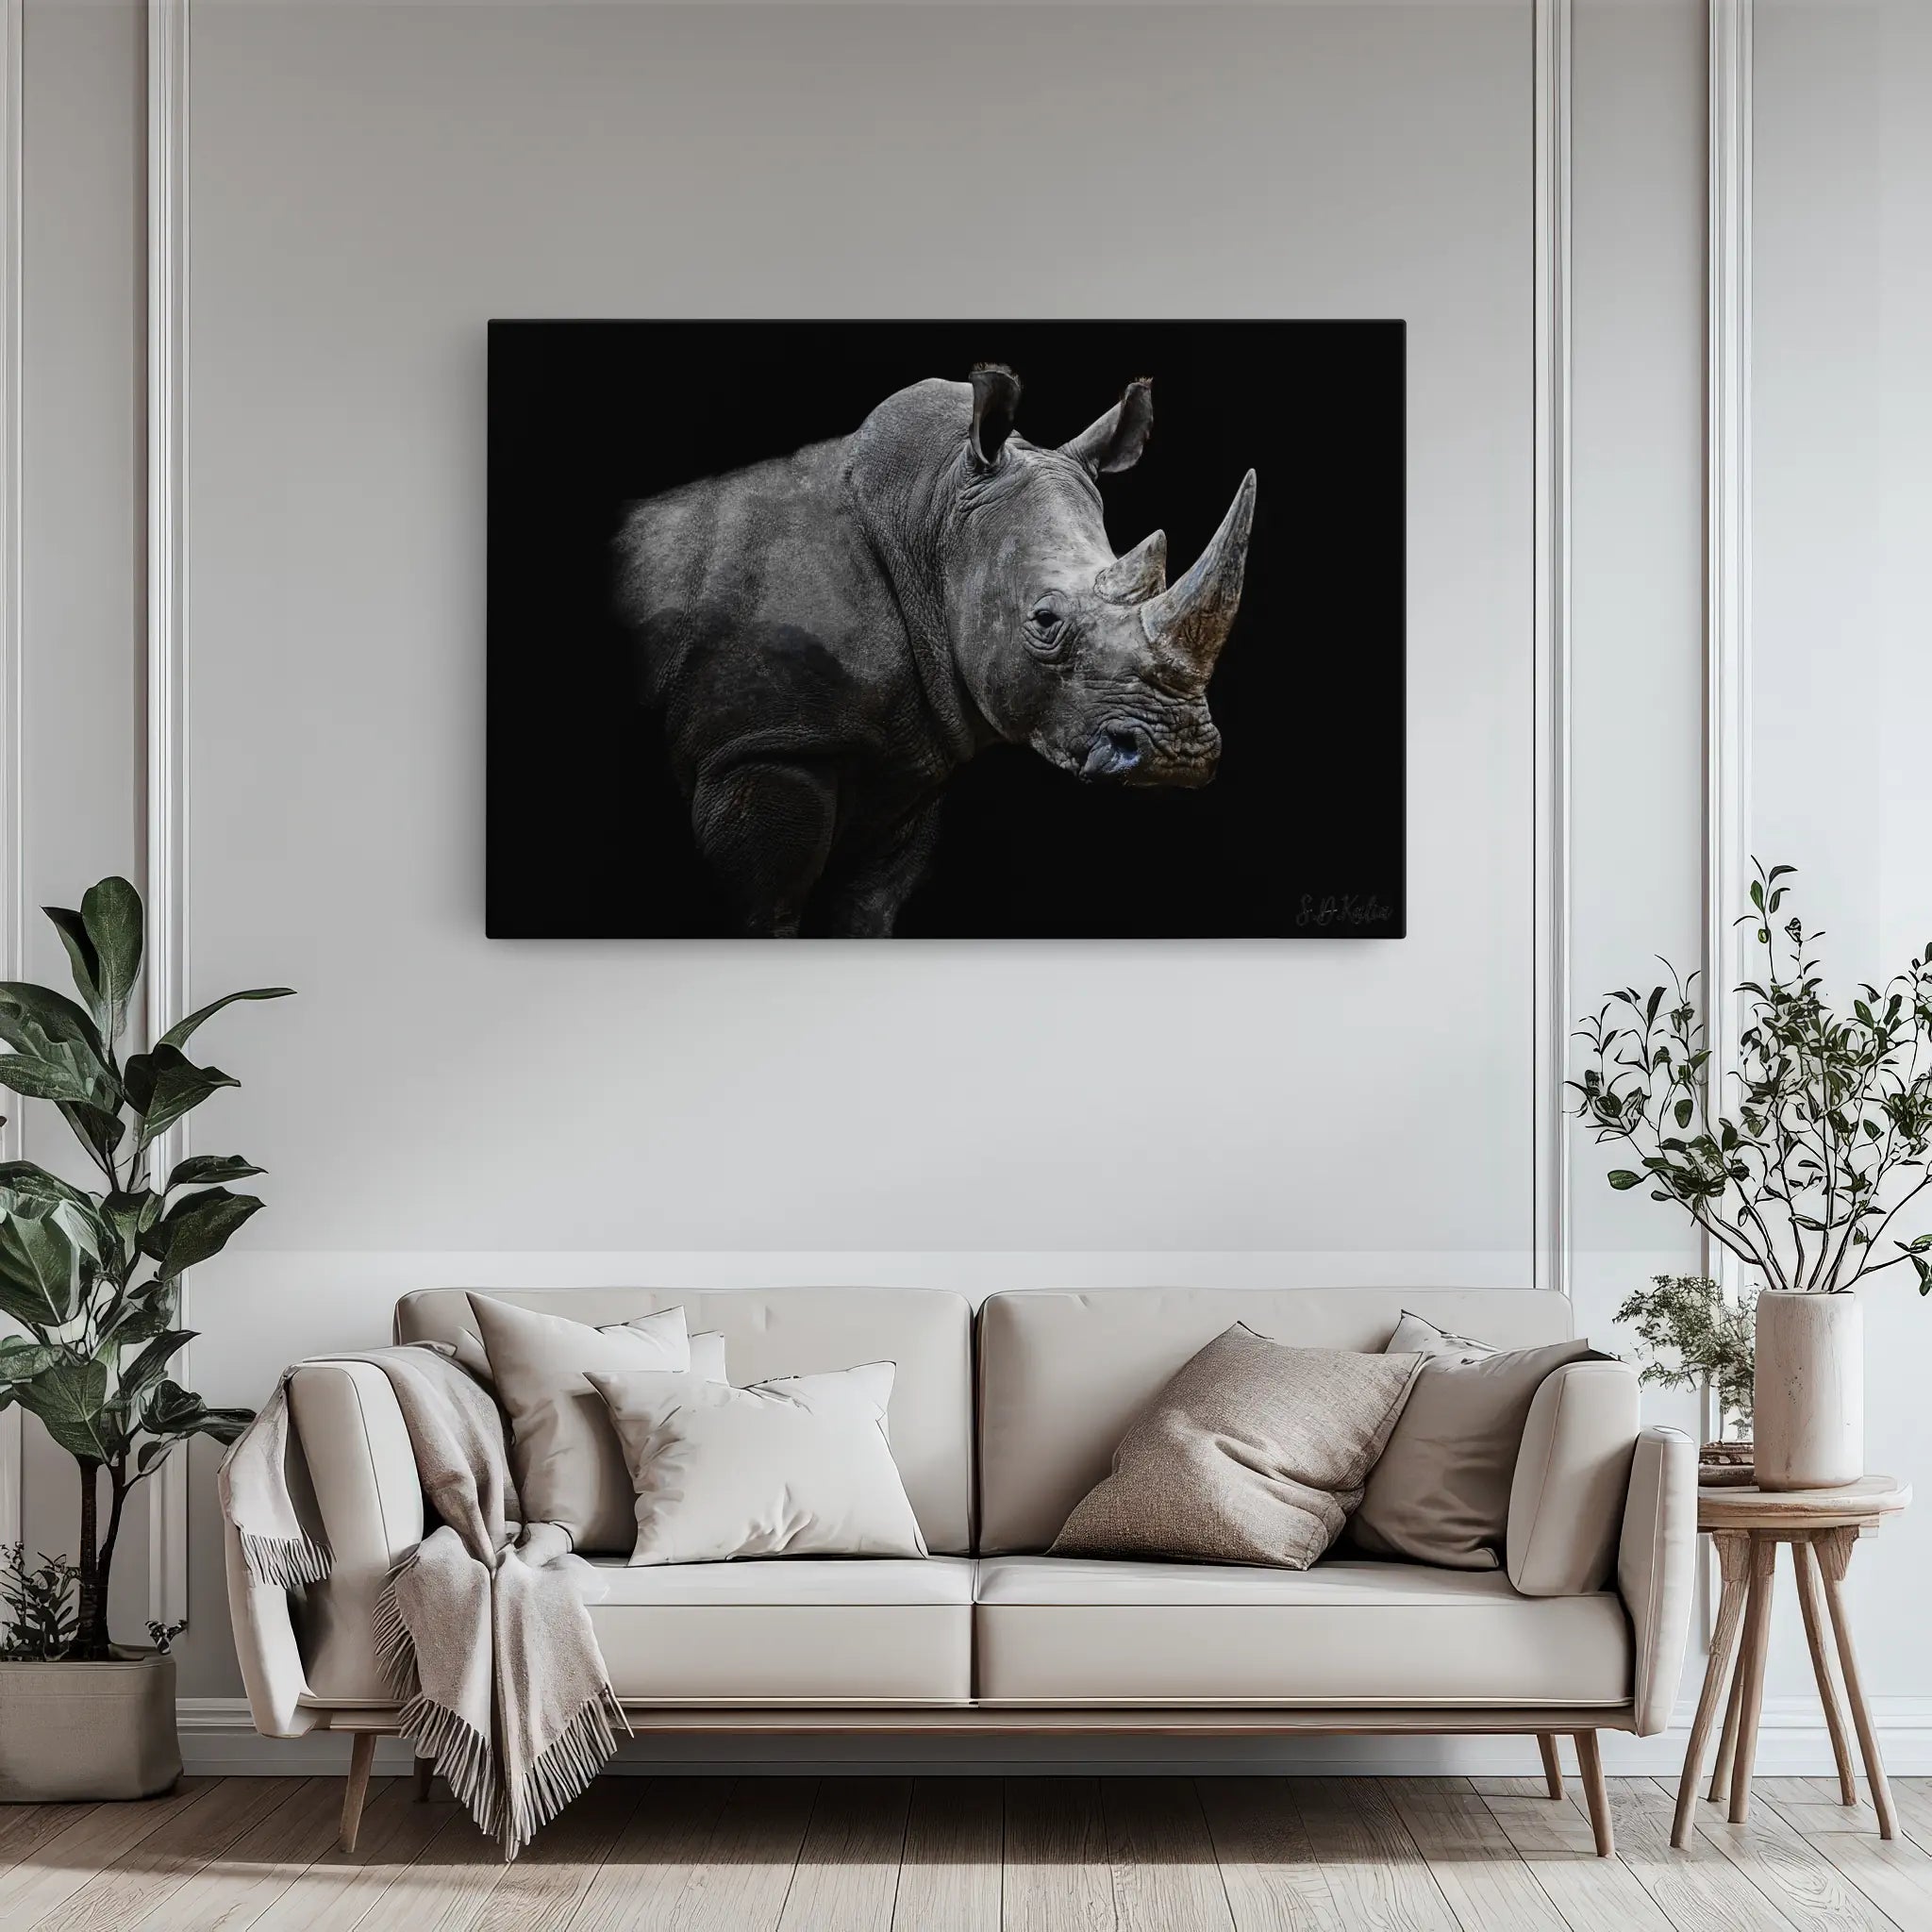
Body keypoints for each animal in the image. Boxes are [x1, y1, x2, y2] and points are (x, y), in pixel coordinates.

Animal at [613, 365, 1257, 936]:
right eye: (1045, 620)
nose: (1177, 754)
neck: (931, 518)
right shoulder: (763, 747)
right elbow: (766, 909)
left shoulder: (907, 762)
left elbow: (867, 909)